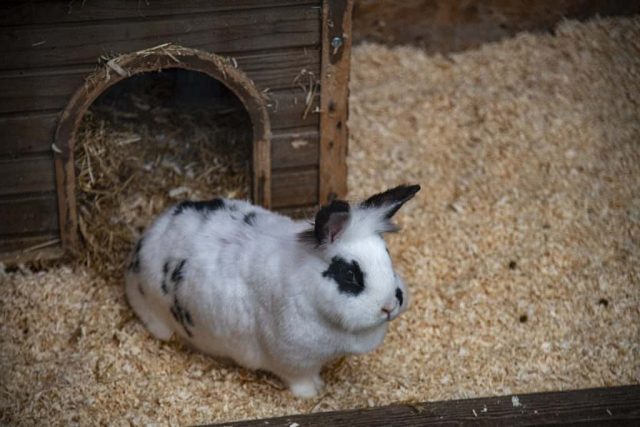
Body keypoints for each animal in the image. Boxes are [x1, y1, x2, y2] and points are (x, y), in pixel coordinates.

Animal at [124, 184, 420, 398]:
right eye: (349, 273)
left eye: (387, 255)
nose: (389, 306)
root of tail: (149, 236)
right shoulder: (294, 362)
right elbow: (301, 381)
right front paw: (314, 393)